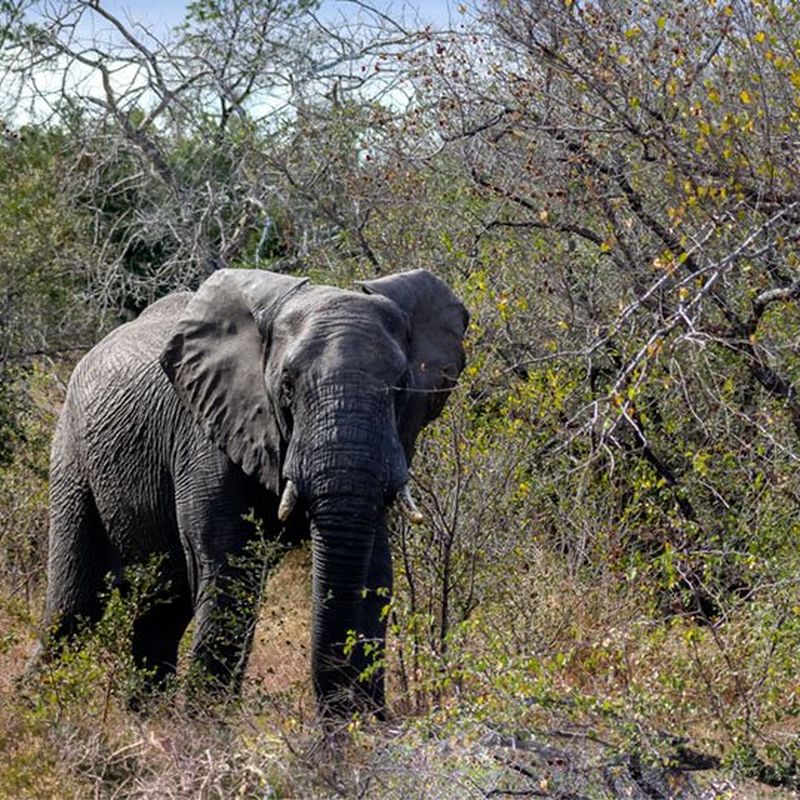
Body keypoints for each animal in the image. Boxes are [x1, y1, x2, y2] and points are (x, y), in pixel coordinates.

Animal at [41, 267, 468, 716]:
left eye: (401, 388)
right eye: (287, 386)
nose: (334, 713)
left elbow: (373, 570)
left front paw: (362, 724)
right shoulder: (206, 434)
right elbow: (229, 570)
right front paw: (204, 723)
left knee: (161, 610)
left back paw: (146, 719)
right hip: (71, 455)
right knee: (75, 608)